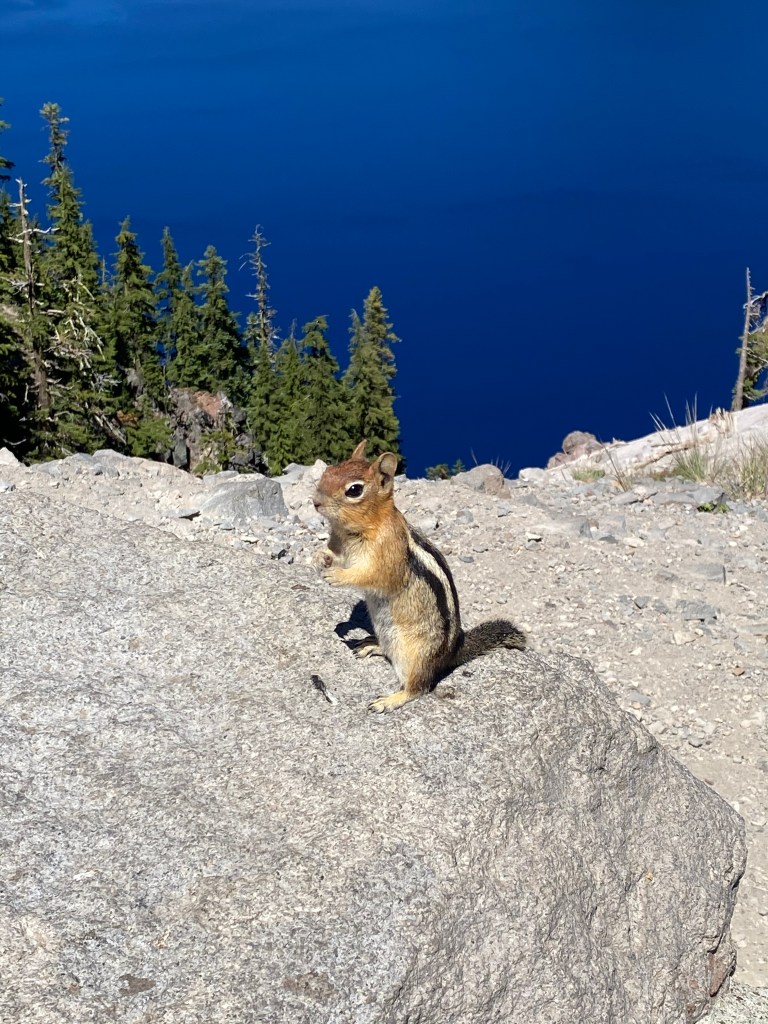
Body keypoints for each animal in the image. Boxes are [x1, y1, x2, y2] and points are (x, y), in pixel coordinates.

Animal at [313, 440, 526, 713]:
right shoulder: (340, 547)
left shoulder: (388, 556)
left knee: (419, 688)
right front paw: (318, 557)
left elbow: (370, 576)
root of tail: (451, 653)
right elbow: (333, 555)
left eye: (354, 490)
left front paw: (337, 576)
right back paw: (370, 645)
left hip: (415, 656)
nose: (316, 502)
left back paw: (389, 700)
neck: (357, 529)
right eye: (329, 470)